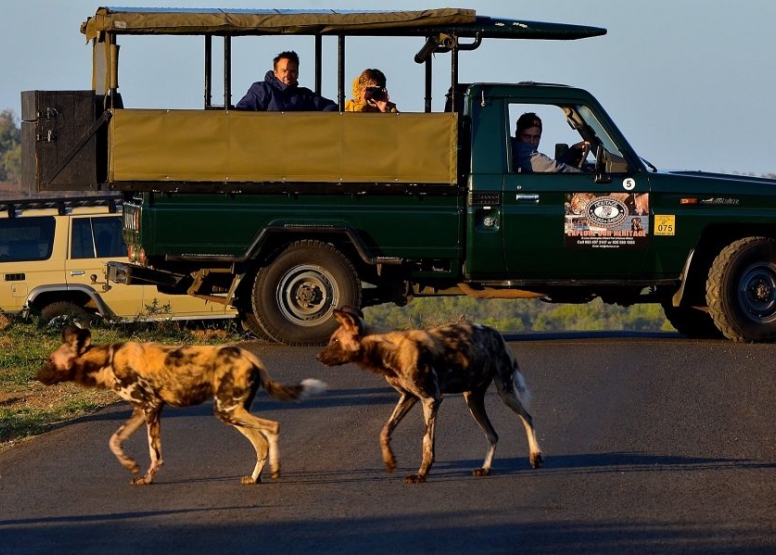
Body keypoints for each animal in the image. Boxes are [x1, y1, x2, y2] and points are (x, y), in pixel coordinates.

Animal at [38, 326, 324, 486]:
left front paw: (147, 478)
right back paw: (255, 478)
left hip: (227, 410)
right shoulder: (140, 411)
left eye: (50, 361)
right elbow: (114, 440)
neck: (107, 360)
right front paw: (131, 465)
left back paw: (273, 471)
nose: (37, 376)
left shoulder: (151, 407)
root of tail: (246, 354)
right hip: (233, 411)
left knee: (272, 427)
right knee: (261, 441)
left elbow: (155, 454)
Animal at [318, 306, 544, 484]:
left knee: (528, 417)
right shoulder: (408, 397)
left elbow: (426, 442)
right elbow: (385, 431)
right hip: (472, 400)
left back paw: (535, 457)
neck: (388, 349)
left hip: (505, 391)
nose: (319, 357)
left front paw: (421, 474)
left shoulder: (431, 399)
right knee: (493, 434)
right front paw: (390, 461)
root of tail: (497, 334)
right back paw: (486, 468)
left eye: (334, 340)